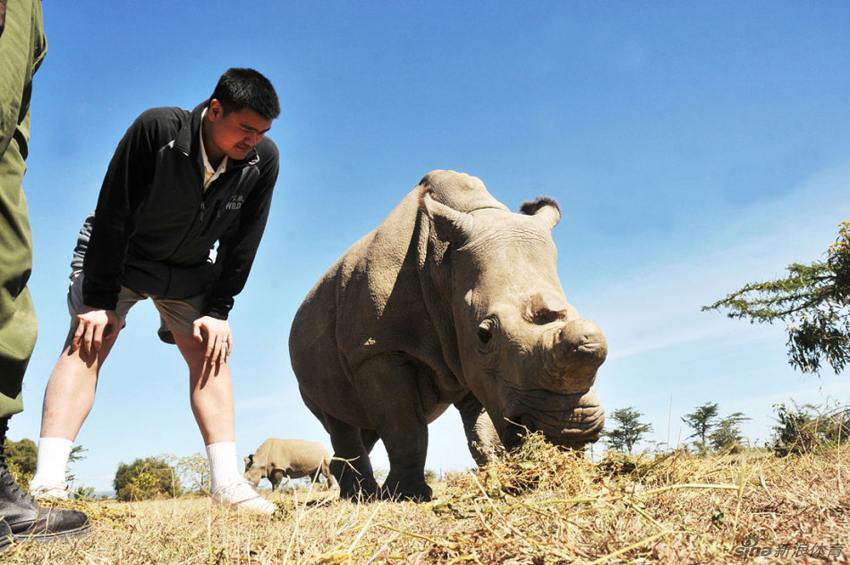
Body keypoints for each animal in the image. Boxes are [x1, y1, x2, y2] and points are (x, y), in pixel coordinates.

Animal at [288, 170, 608, 500]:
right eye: (484, 335)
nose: (570, 429)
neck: (443, 264)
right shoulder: (379, 347)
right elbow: (406, 428)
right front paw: (408, 495)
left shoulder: (468, 354)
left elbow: (483, 430)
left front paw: (497, 479)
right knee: (339, 419)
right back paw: (360, 496)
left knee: (363, 425)